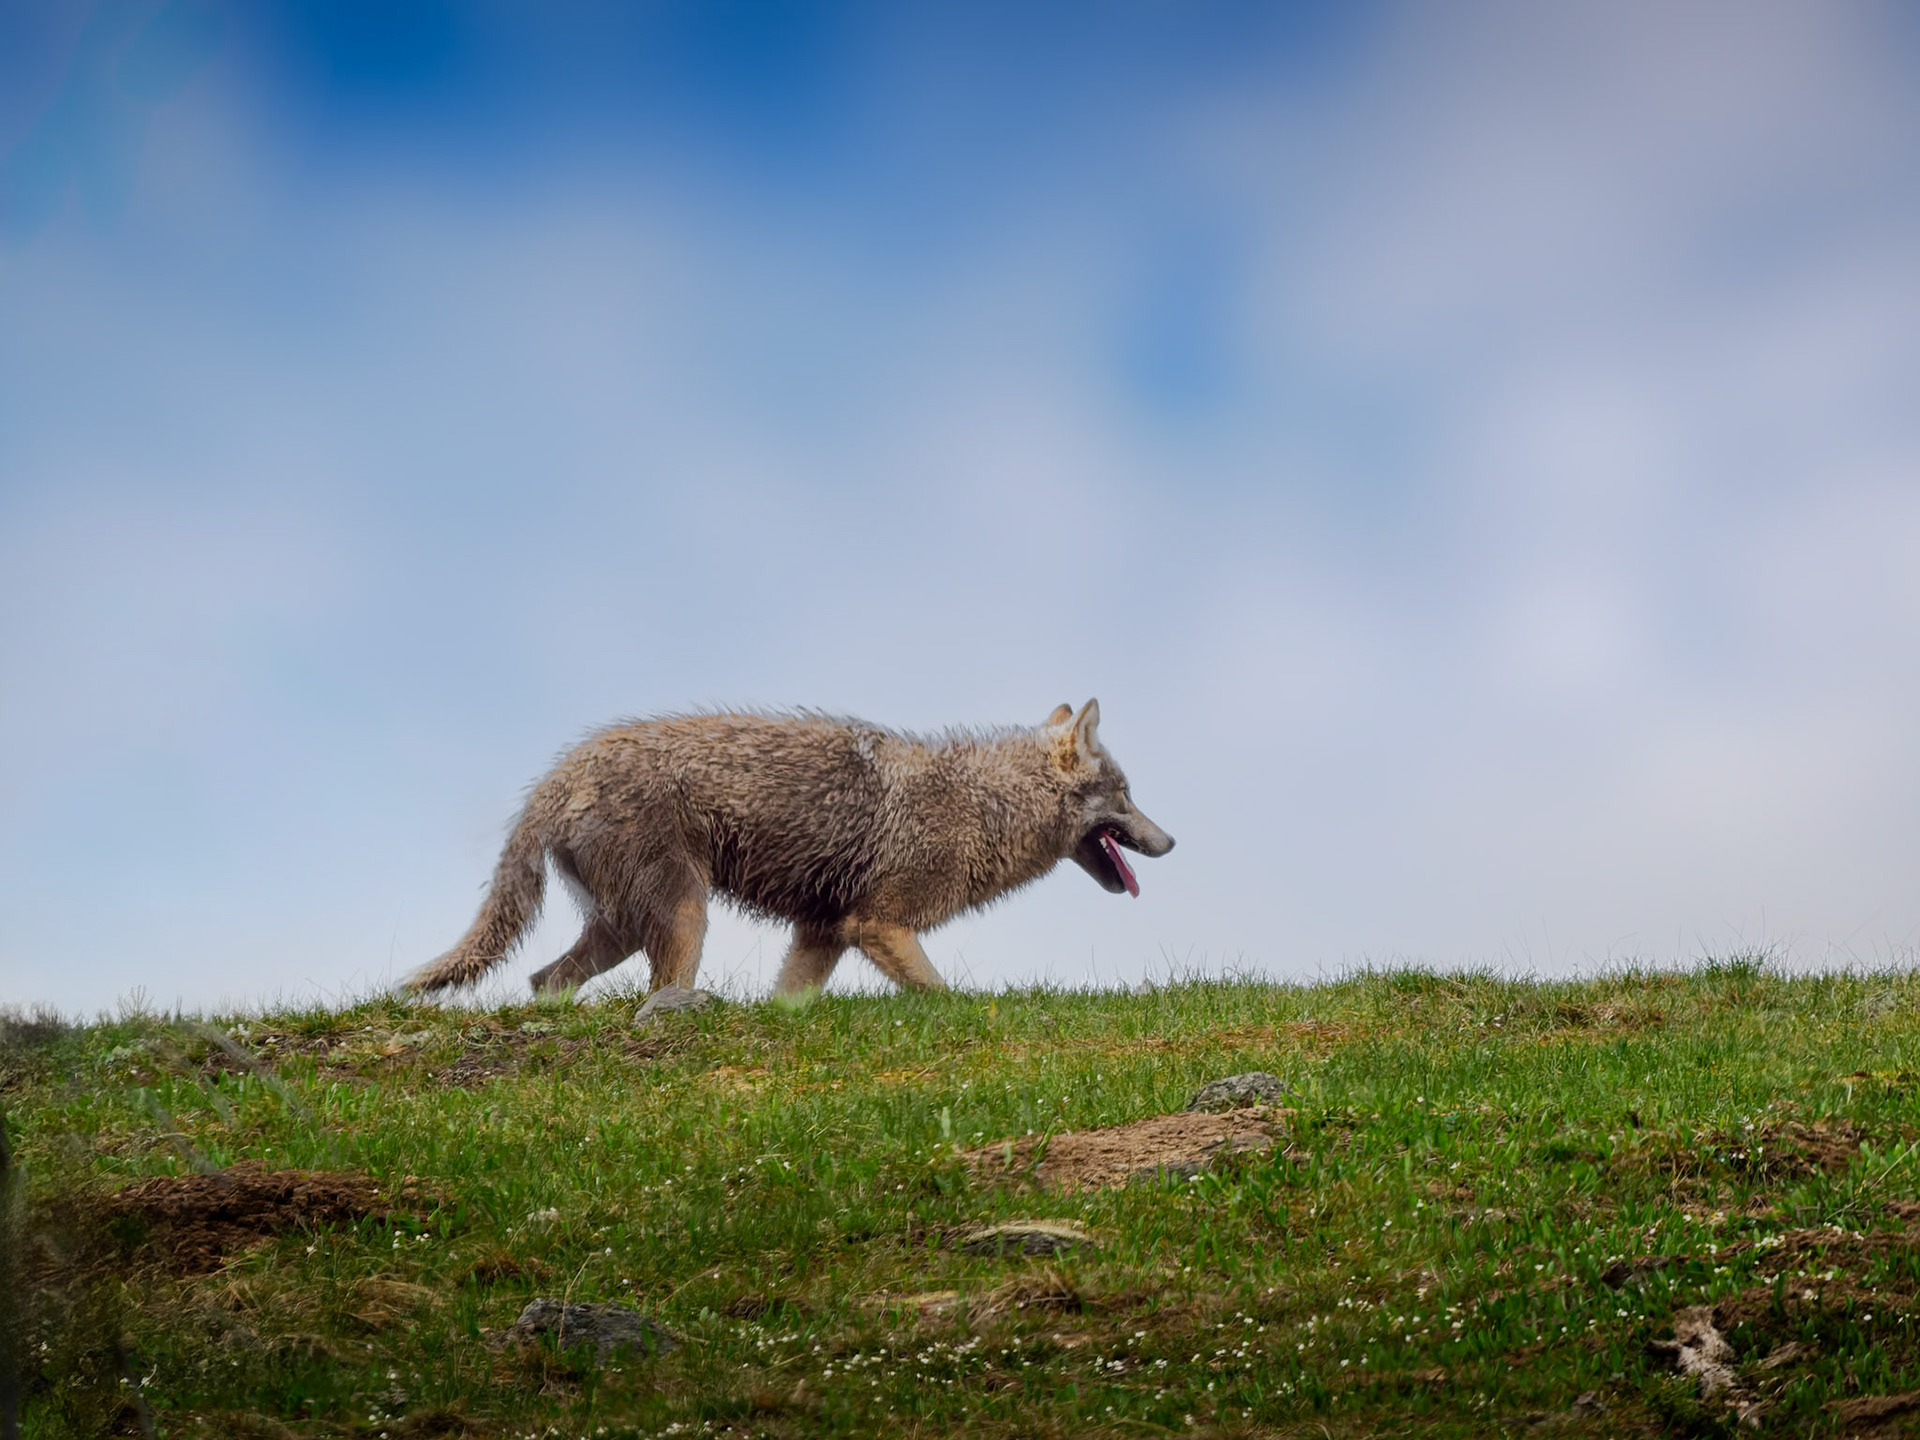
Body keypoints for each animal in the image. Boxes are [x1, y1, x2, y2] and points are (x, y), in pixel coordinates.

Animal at [404, 700, 1173, 998]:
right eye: (1128, 796)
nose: (1173, 841)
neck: (984, 804)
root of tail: (553, 777)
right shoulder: (878, 927)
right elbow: (945, 998)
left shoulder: (823, 935)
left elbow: (787, 1002)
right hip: (682, 922)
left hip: (625, 929)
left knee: (543, 981)